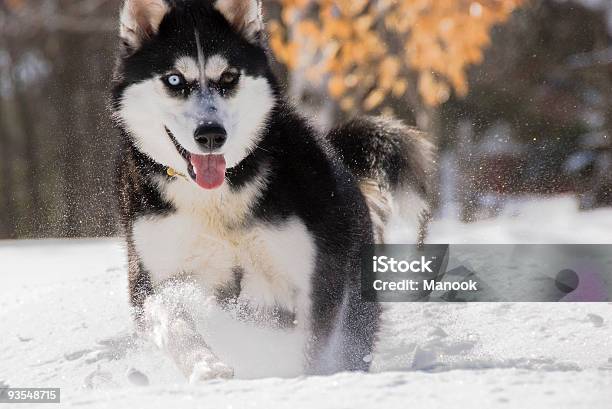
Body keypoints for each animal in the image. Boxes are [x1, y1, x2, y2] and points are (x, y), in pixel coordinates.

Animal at [111, 0, 436, 380]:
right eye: (174, 79)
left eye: (228, 77)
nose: (211, 135)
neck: (217, 198)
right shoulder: (154, 278)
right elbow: (172, 321)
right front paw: (206, 366)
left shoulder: (310, 278)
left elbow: (303, 340)